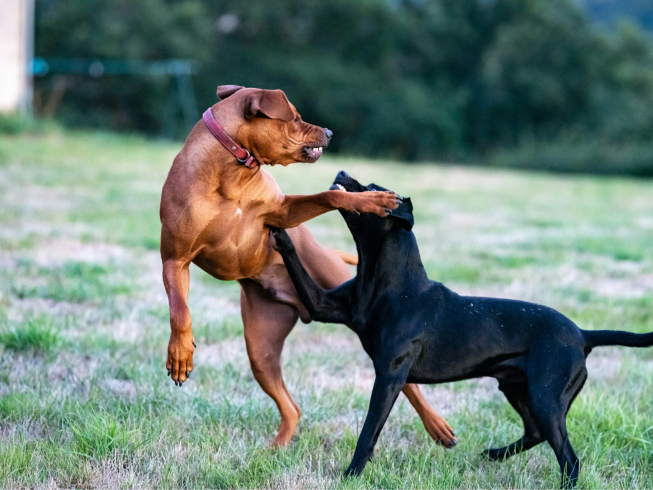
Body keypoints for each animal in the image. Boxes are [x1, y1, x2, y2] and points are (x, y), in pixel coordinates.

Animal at [159, 85, 454, 448]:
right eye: (296, 117)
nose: (329, 132)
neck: (232, 173)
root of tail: (299, 305)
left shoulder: (283, 211)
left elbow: (330, 196)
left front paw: (370, 200)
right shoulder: (174, 261)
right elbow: (180, 311)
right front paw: (180, 353)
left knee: (409, 384)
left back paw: (437, 425)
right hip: (261, 350)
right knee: (292, 406)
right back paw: (277, 447)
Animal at [268, 170, 652, 488]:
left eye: (374, 189)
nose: (342, 171)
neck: (388, 281)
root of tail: (584, 336)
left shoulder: (389, 375)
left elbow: (368, 432)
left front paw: (351, 474)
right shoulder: (323, 306)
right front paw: (279, 230)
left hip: (546, 396)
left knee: (569, 459)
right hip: (517, 388)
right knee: (536, 433)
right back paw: (494, 454)